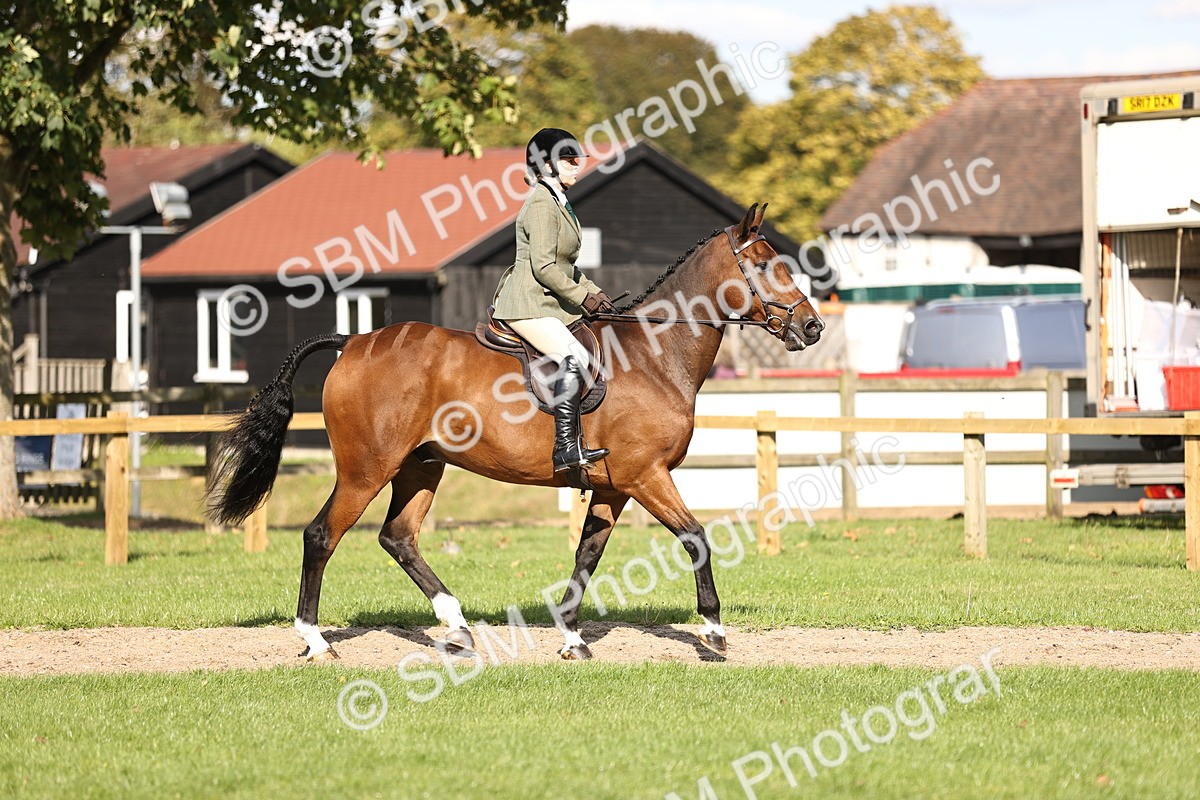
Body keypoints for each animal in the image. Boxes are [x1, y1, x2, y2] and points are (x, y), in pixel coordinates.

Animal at [206, 202, 825, 661]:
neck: (656, 354)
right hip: (366, 468)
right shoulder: (645, 475)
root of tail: (354, 341)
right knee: (321, 536)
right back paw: (314, 641)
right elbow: (695, 537)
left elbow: (587, 555)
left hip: (421, 466)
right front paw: (714, 633)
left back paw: (457, 628)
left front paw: (572, 638)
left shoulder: (613, 486)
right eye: (766, 266)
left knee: (398, 538)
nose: (813, 327)